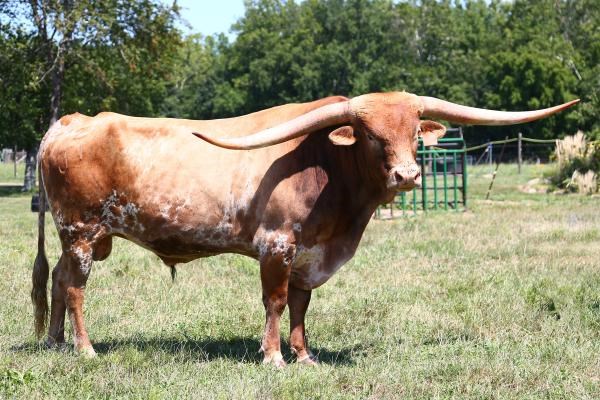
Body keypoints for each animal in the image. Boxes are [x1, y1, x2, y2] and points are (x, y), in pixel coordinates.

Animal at [32, 91, 578, 366]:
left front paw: (304, 355)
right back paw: (85, 349)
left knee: (58, 280)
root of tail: (70, 120)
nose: (407, 176)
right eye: (372, 136)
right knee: (76, 288)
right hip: (81, 231)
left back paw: (54, 343)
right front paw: (273, 357)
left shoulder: (311, 252)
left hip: (79, 237)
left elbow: (300, 304)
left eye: (411, 132)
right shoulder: (277, 245)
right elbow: (275, 301)